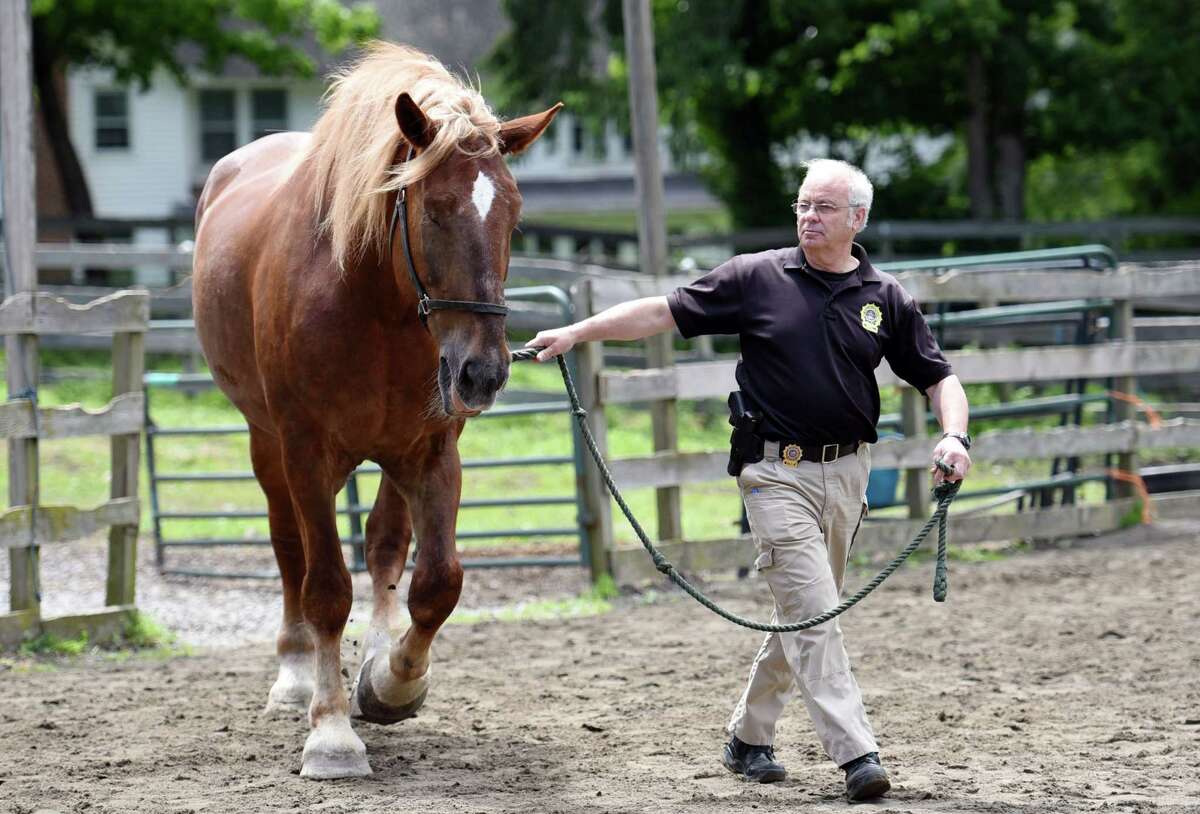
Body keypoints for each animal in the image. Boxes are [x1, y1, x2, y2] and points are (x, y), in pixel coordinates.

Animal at [191, 41, 560, 779]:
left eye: (511, 214)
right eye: (435, 208)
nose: (482, 372)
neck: (373, 303)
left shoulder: (432, 452)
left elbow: (437, 582)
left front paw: (393, 683)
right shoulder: (304, 453)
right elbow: (325, 587)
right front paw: (331, 731)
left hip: (391, 454)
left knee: (388, 546)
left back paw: (378, 659)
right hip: (267, 445)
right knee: (290, 551)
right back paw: (297, 676)